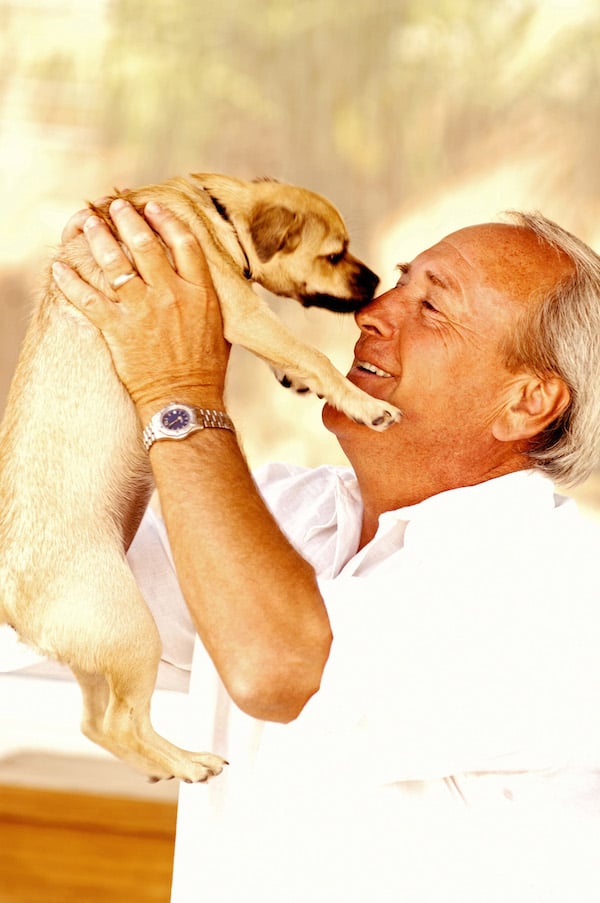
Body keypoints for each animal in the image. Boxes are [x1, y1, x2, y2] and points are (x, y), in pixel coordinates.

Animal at [1, 177, 404, 784]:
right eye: (335, 254)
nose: (378, 281)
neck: (218, 209)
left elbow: (294, 356)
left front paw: (295, 378)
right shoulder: (244, 312)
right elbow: (311, 353)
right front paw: (364, 404)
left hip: (99, 653)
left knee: (98, 724)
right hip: (130, 634)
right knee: (121, 722)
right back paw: (190, 764)